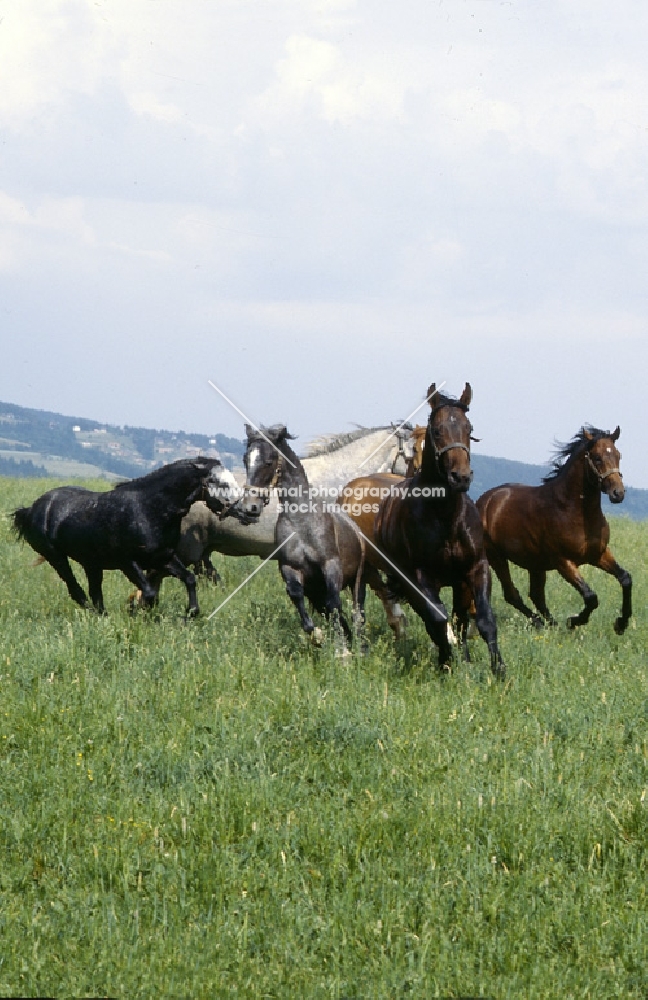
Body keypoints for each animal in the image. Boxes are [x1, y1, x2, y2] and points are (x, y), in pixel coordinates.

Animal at [12, 458, 240, 612]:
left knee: (95, 593)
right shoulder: (127, 562)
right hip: (56, 557)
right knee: (76, 590)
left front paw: (191, 612)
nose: (246, 510)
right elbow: (149, 593)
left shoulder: (163, 557)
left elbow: (189, 579)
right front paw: (137, 612)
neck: (149, 509)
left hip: (91, 563)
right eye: (221, 483)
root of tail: (31, 509)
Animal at [242, 424, 368, 648]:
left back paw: (361, 648)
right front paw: (318, 636)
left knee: (356, 613)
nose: (250, 508)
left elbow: (335, 603)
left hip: (358, 581)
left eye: (268, 461)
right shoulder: (290, 568)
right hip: (316, 590)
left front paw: (342, 650)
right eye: (245, 460)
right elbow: (297, 596)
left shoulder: (330, 565)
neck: (301, 523)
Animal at [346, 386, 504, 676]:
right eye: (438, 430)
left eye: (468, 428)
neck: (446, 518)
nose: (461, 477)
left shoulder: (474, 569)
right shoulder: (422, 578)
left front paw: (496, 670)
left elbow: (479, 619)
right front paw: (447, 663)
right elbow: (439, 619)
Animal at [476, 424, 632, 632]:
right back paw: (542, 624)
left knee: (536, 595)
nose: (618, 493)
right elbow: (591, 597)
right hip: (496, 557)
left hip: (535, 564)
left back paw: (552, 625)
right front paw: (574, 621)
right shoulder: (563, 561)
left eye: (618, 455)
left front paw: (621, 624)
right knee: (512, 594)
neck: (574, 511)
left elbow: (625, 578)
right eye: (597, 457)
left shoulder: (598, 554)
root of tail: (483, 501)